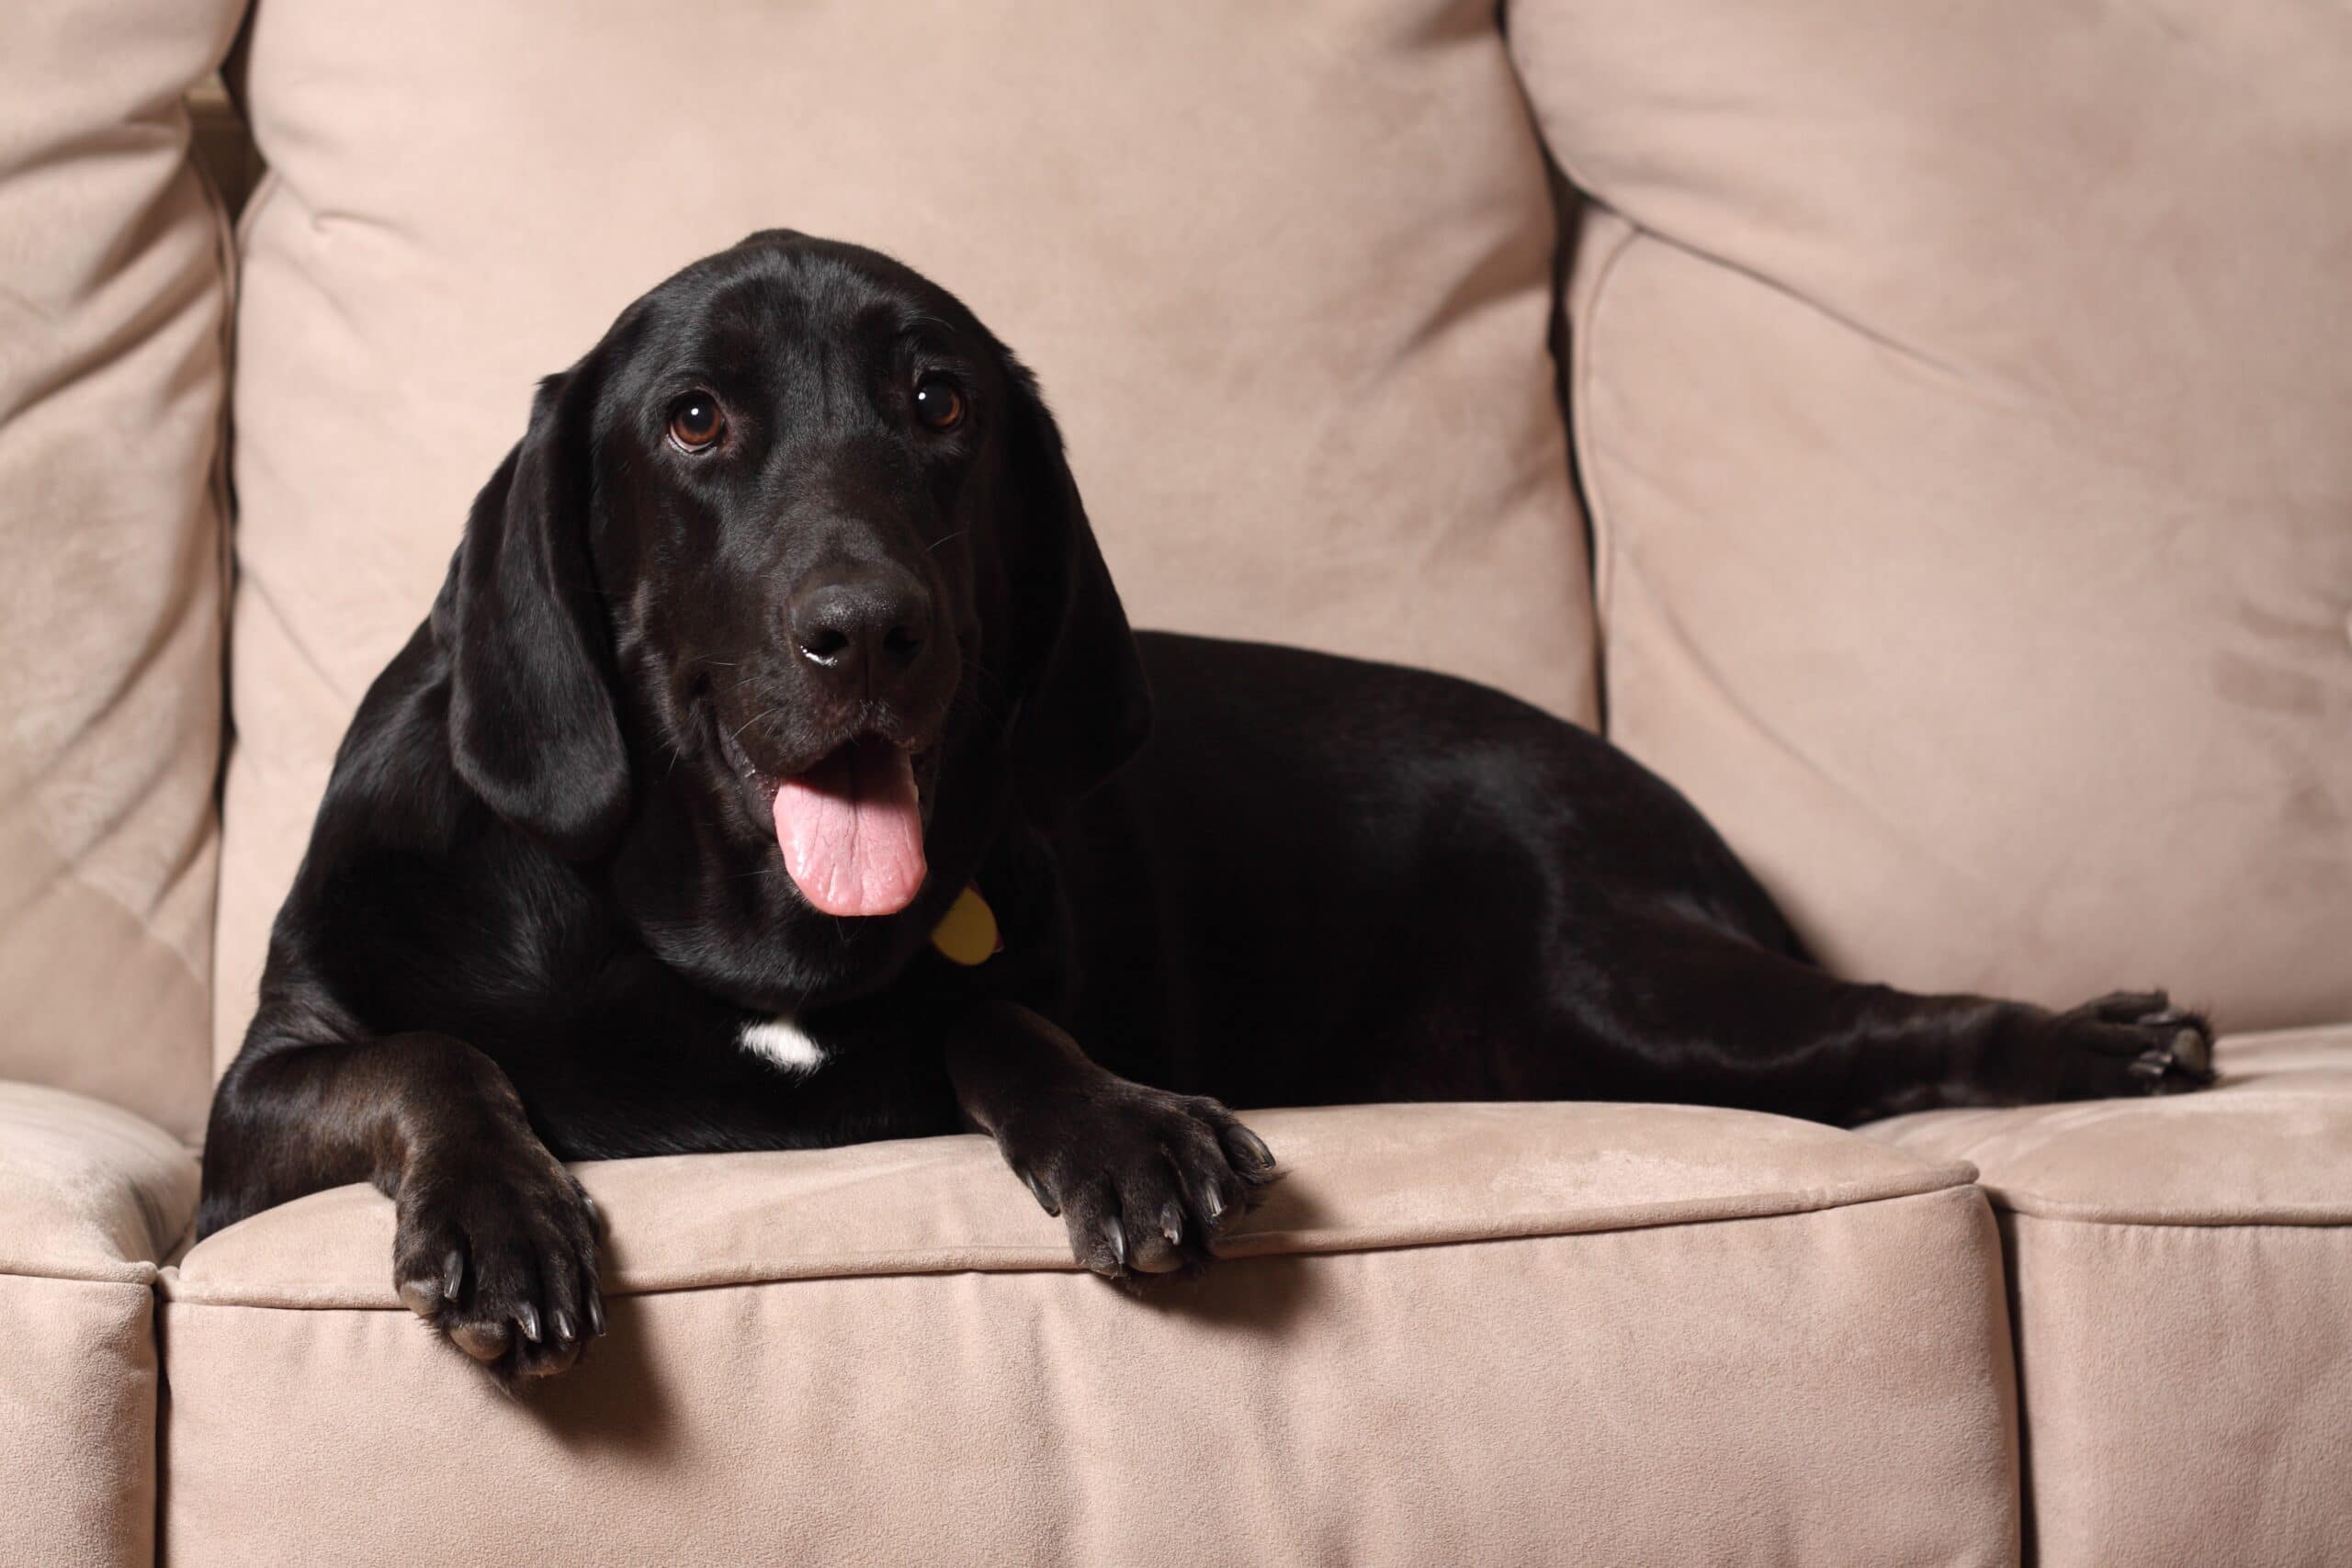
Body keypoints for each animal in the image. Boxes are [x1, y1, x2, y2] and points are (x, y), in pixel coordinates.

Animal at [192, 226, 2211, 1382]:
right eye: (692, 420)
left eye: (937, 402)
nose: (874, 631)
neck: (723, 935)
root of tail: (1639, 787)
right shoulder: (252, 1114)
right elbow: (432, 1057)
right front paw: (502, 1220)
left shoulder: (970, 993)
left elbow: (1005, 1019)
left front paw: (1126, 1125)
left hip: (1643, 995)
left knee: (1887, 1027)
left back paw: (2104, 1039)